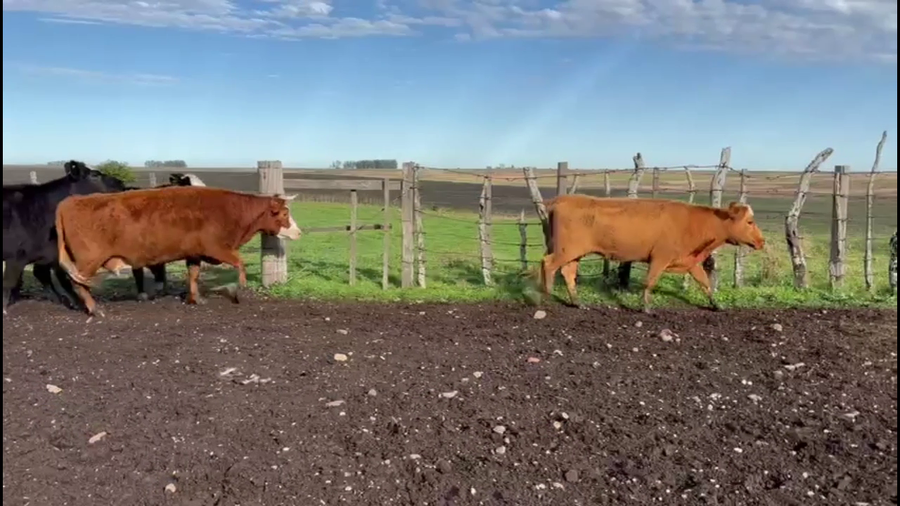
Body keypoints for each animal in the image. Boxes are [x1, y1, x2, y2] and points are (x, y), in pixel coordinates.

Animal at [3, 161, 128, 314]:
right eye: (94, 175)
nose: (120, 183)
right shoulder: (16, 256)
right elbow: (9, 283)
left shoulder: (51, 254)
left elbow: (60, 279)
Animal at [54, 186, 302, 316]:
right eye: (284, 214)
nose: (299, 232)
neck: (231, 211)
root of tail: (69, 201)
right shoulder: (217, 248)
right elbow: (239, 263)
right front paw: (239, 287)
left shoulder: (194, 253)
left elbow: (193, 275)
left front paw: (195, 298)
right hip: (89, 261)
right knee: (79, 284)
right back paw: (94, 309)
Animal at [538, 194, 766, 313]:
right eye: (750, 222)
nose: (762, 241)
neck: (695, 222)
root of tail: (564, 198)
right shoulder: (659, 258)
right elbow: (650, 281)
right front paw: (646, 307)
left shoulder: (691, 262)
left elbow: (705, 283)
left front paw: (717, 305)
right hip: (565, 250)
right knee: (548, 264)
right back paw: (547, 298)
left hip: (573, 253)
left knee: (568, 273)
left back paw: (577, 302)